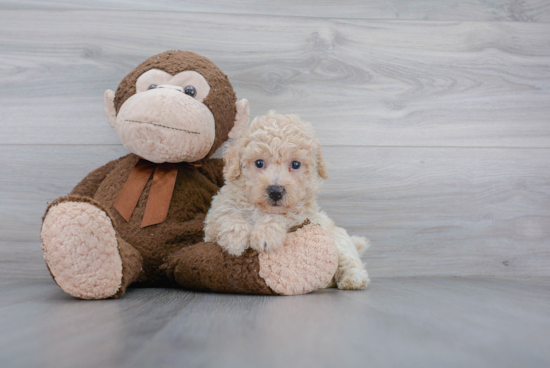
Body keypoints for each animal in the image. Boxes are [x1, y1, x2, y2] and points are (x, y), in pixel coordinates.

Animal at [206, 110, 370, 288]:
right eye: (259, 163)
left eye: (296, 164)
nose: (275, 191)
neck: (261, 209)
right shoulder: (213, 219)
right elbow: (227, 213)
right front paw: (235, 239)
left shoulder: (303, 215)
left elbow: (282, 216)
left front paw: (265, 234)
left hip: (340, 241)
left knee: (350, 261)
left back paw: (353, 280)